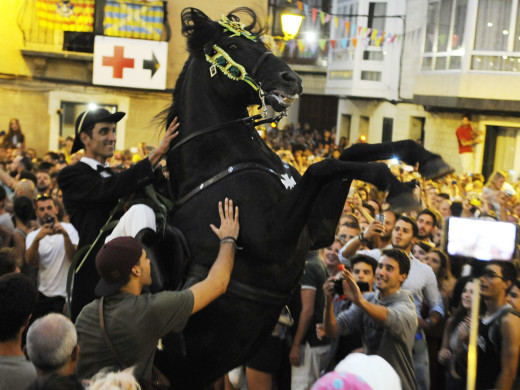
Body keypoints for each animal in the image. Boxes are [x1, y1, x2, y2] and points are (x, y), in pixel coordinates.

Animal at [157, 7, 450, 388]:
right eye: (232, 45)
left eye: (263, 43)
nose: (291, 78)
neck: (220, 163)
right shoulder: (271, 238)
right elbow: (324, 166)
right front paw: (396, 185)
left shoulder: (316, 231)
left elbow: (349, 152)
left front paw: (426, 158)